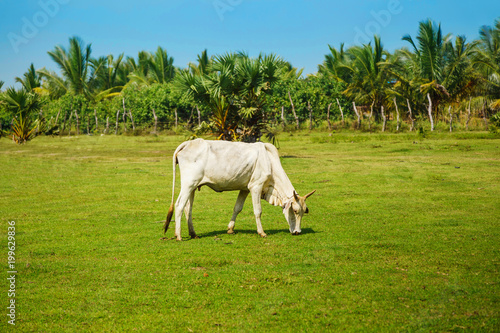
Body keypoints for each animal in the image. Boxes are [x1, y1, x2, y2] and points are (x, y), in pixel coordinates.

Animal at [165, 139, 316, 240]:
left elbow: (237, 208)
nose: (297, 232)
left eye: (304, 211)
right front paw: (261, 232)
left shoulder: (245, 189)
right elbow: (258, 211)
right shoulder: (256, 186)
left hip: (193, 187)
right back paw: (178, 235)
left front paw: (230, 229)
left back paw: (193, 234)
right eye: (295, 210)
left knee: (188, 208)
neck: (269, 162)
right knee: (179, 205)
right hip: (188, 184)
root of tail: (188, 143)